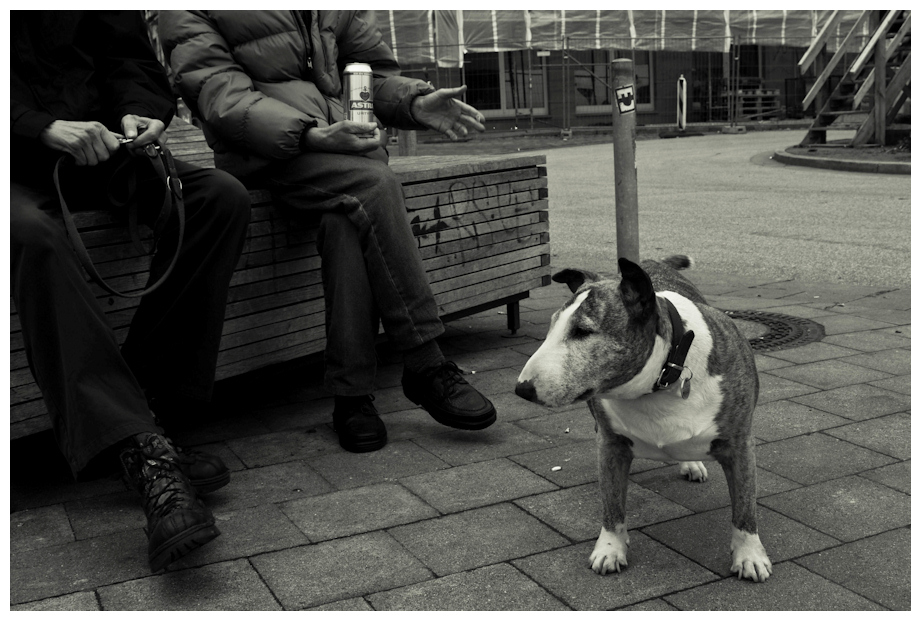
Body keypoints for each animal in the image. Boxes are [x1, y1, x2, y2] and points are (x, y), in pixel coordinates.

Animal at [516, 253, 768, 580]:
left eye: (582, 331)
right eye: (550, 328)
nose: (522, 389)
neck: (661, 378)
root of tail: (652, 260)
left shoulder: (739, 445)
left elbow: (745, 506)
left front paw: (750, 556)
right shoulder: (611, 444)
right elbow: (612, 504)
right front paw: (610, 550)